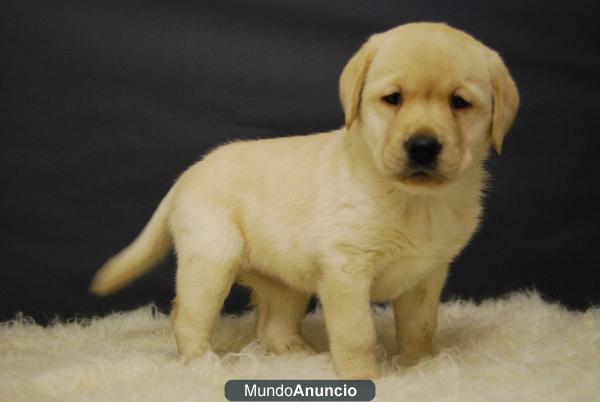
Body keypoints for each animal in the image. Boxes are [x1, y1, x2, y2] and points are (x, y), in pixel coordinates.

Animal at [89, 22, 516, 378]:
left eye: (459, 103)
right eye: (393, 99)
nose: (423, 146)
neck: (413, 199)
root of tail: (188, 173)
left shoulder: (428, 274)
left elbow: (421, 326)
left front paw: (424, 369)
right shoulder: (346, 271)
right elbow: (358, 333)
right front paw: (366, 378)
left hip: (283, 281)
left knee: (271, 325)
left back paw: (301, 356)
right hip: (211, 258)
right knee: (187, 315)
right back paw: (204, 364)